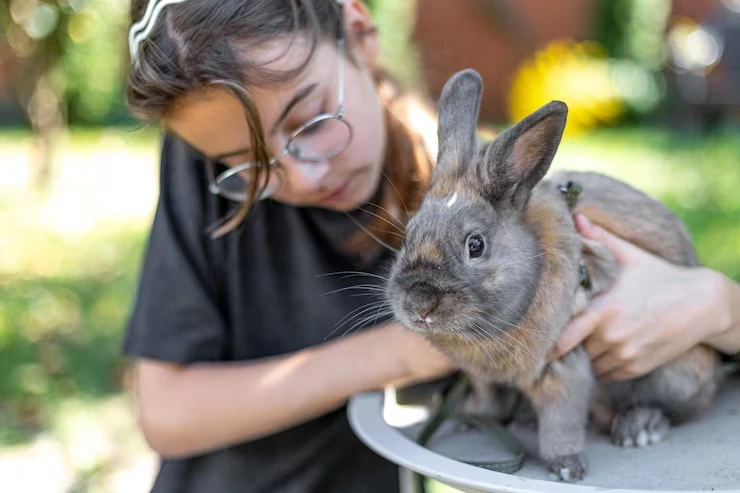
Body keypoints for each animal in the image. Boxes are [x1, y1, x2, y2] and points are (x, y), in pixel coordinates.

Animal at [386, 68, 724, 482]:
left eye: (475, 245)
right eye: (408, 235)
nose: (419, 304)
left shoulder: (563, 364)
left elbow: (561, 422)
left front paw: (567, 467)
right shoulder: (481, 376)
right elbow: (489, 400)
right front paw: (471, 417)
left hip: (680, 372)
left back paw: (640, 426)